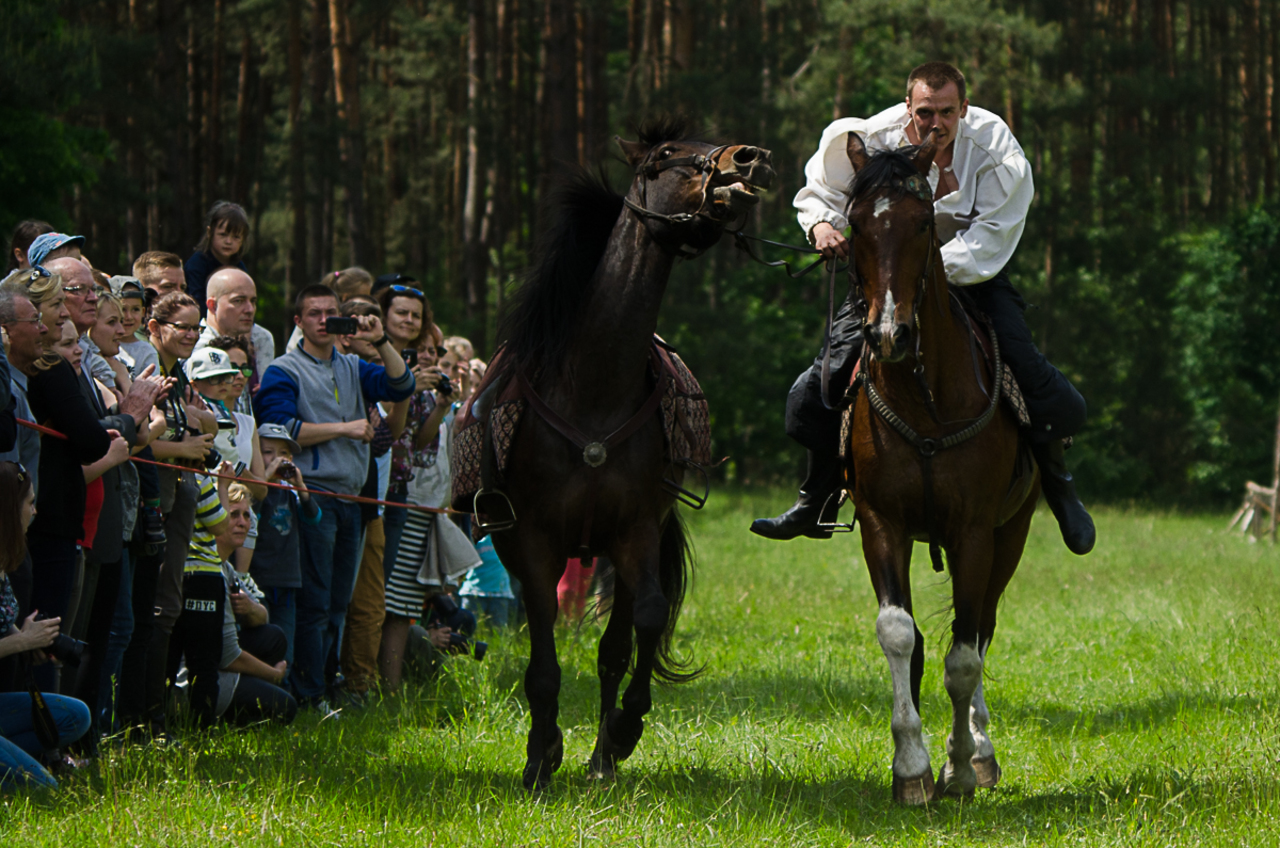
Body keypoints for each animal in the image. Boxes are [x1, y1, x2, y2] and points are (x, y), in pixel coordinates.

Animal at [486, 121, 768, 799]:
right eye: (666, 156)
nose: (749, 159)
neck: (592, 388)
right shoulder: (532, 541)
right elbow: (542, 656)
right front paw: (540, 758)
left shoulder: (635, 529)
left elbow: (645, 621)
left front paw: (622, 731)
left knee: (615, 648)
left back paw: (602, 757)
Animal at [839, 131, 1039, 804]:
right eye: (854, 225)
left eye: (924, 223)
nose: (889, 335)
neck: (924, 400)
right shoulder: (884, 524)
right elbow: (900, 634)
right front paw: (912, 768)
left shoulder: (975, 531)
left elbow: (964, 658)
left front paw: (960, 764)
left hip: (1011, 535)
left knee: (980, 628)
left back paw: (981, 749)